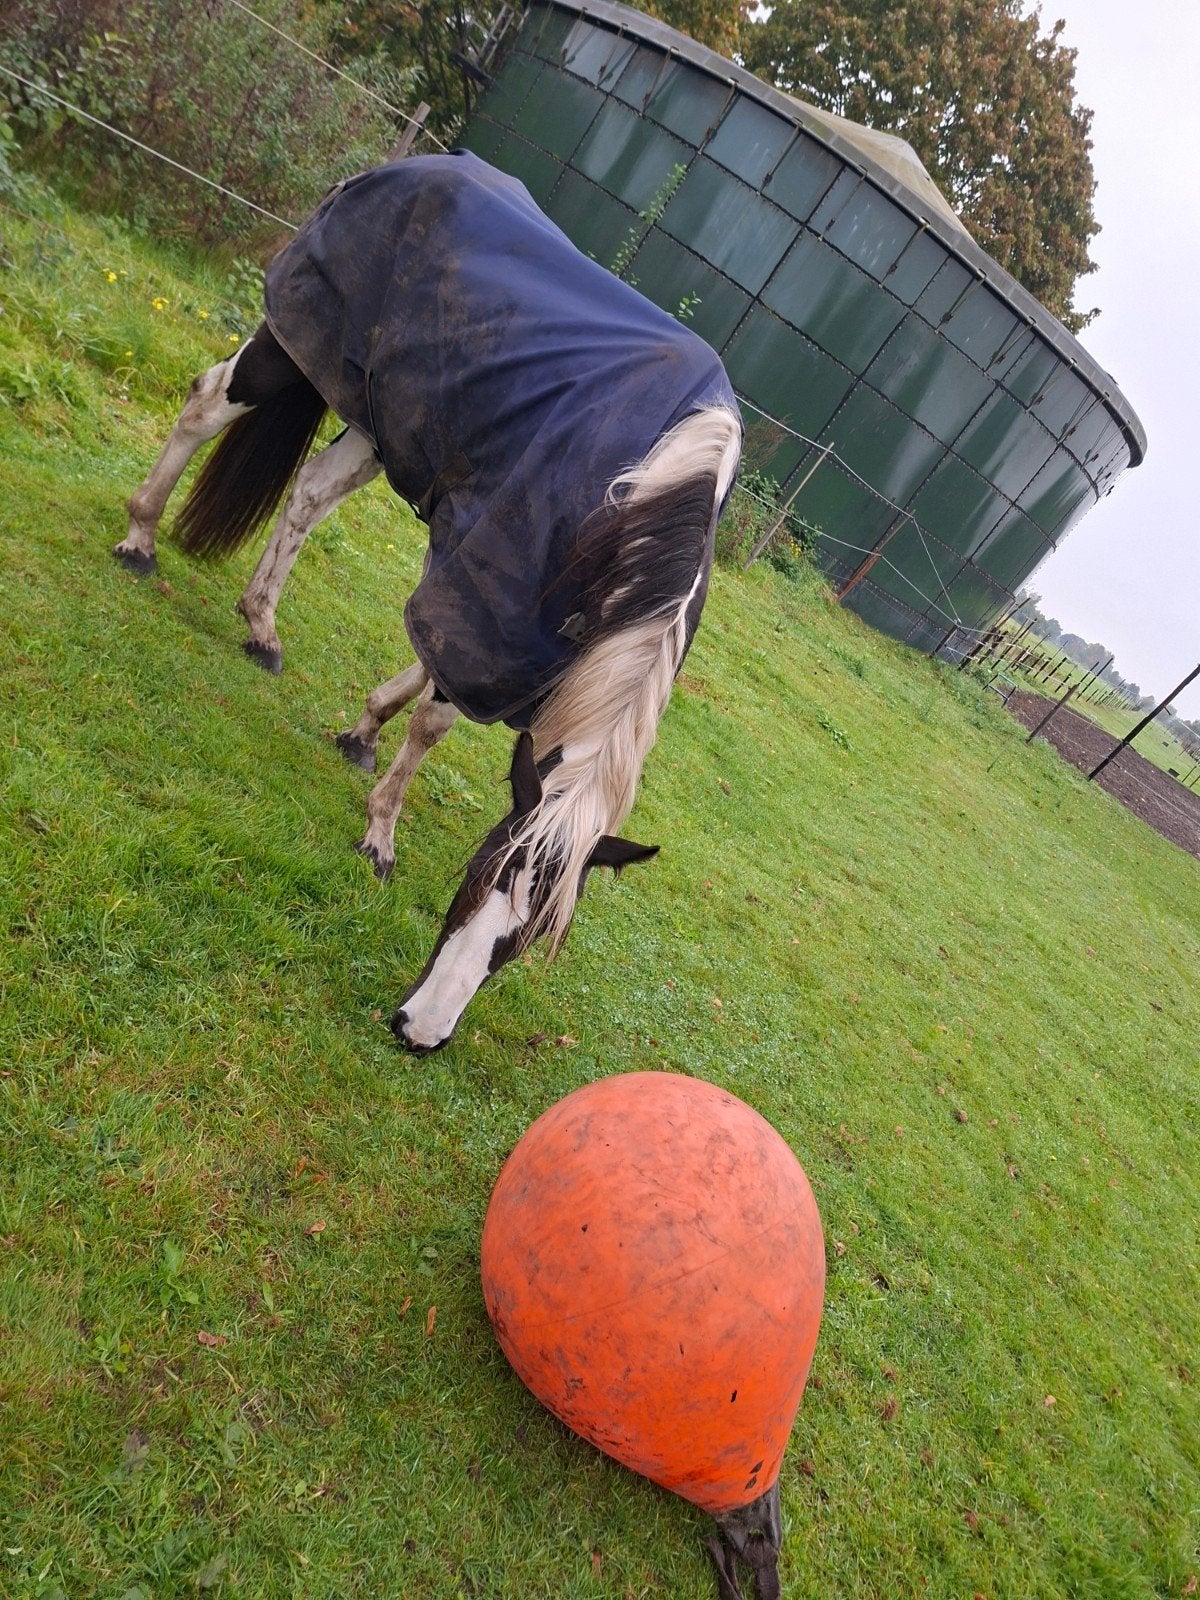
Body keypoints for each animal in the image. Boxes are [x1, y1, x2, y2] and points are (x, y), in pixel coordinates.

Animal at [115, 152, 741, 1052]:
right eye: (478, 877)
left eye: (527, 938)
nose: (422, 1031)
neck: (646, 493)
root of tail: (410, 165)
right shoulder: (490, 599)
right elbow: (436, 718)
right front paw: (380, 826)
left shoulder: (521, 637)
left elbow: (425, 674)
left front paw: (362, 728)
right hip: (291, 349)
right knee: (205, 404)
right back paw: (139, 537)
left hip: (381, 423)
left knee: (309, 495)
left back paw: (262, 625)